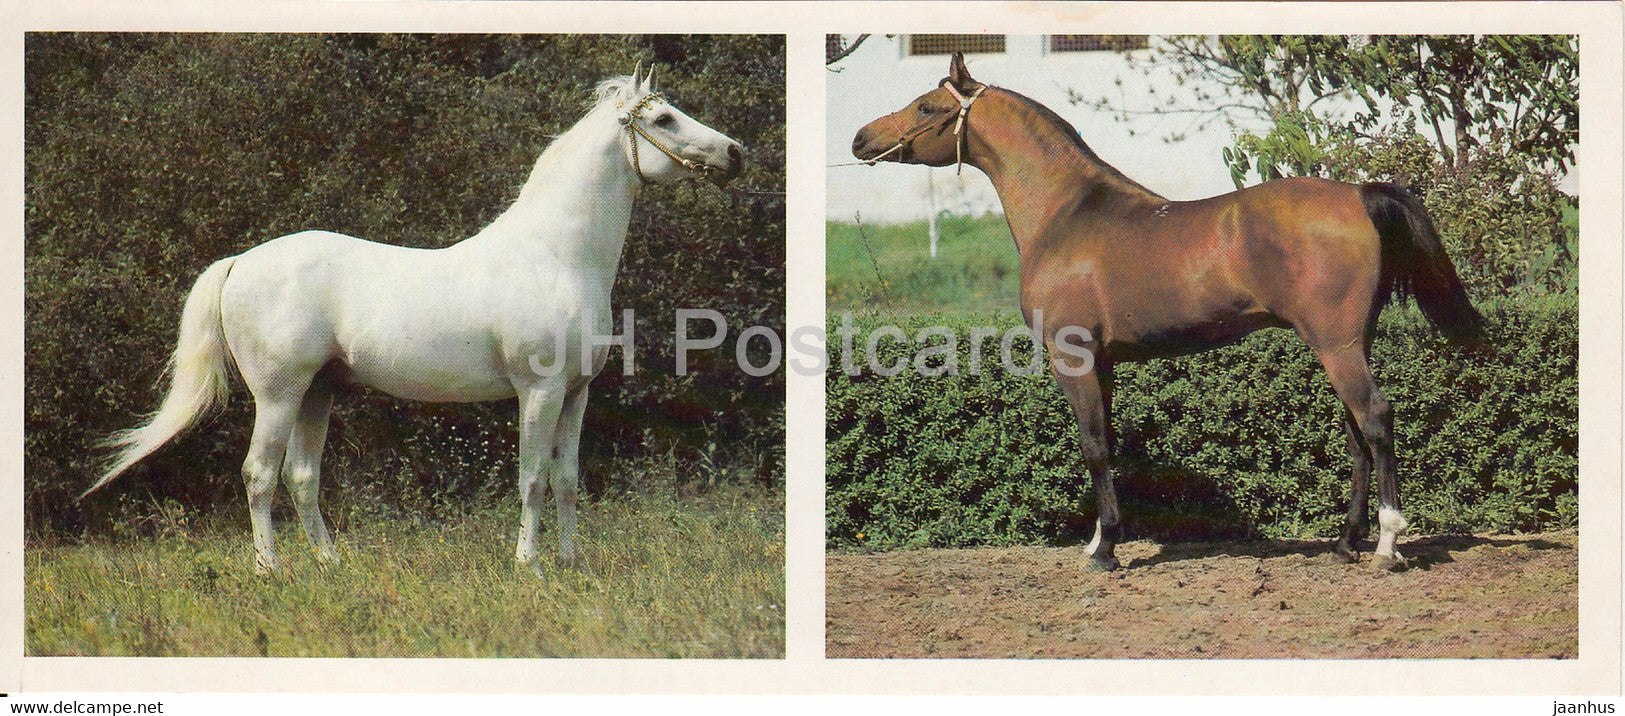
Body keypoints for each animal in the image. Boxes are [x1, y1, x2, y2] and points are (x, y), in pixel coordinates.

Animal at [83, 66, 745, 576]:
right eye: (665, 120)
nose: (736, 154)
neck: (557, 255)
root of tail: (241, 262)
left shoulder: (577, 393)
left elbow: (565, 480)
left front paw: (569, 564)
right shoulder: (539, 392)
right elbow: (531, 478)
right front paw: (528, 566)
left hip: (318, 392)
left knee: (302, 477)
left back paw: (332, 565)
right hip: (278, 394)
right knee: (259, 475)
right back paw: (269, 571)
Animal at [850, 52, 1483, 573]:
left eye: (926, 106)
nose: (859, 138)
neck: (1068, 214)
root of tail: (1357, 194)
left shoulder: (1072, 358)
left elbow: (1094, 447)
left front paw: (1103, 551)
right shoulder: (1102, 362)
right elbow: (1107, 442)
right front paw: (1100, 540)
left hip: (1338, 347)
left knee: (1375, 420)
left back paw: (1386, 545)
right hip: (1349, 344)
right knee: (1357, 435)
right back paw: (1347, 543)